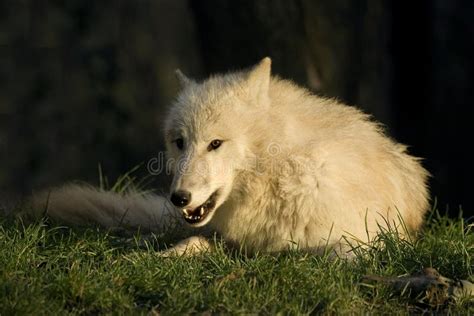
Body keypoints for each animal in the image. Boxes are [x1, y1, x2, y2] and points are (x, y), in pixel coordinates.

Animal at [27, 57, 432, 256]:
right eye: (180, 142)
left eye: (215, 143)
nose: (179, 198)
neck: (277, 177)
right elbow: (193, 243)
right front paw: (159, 254)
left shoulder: (360, 241)